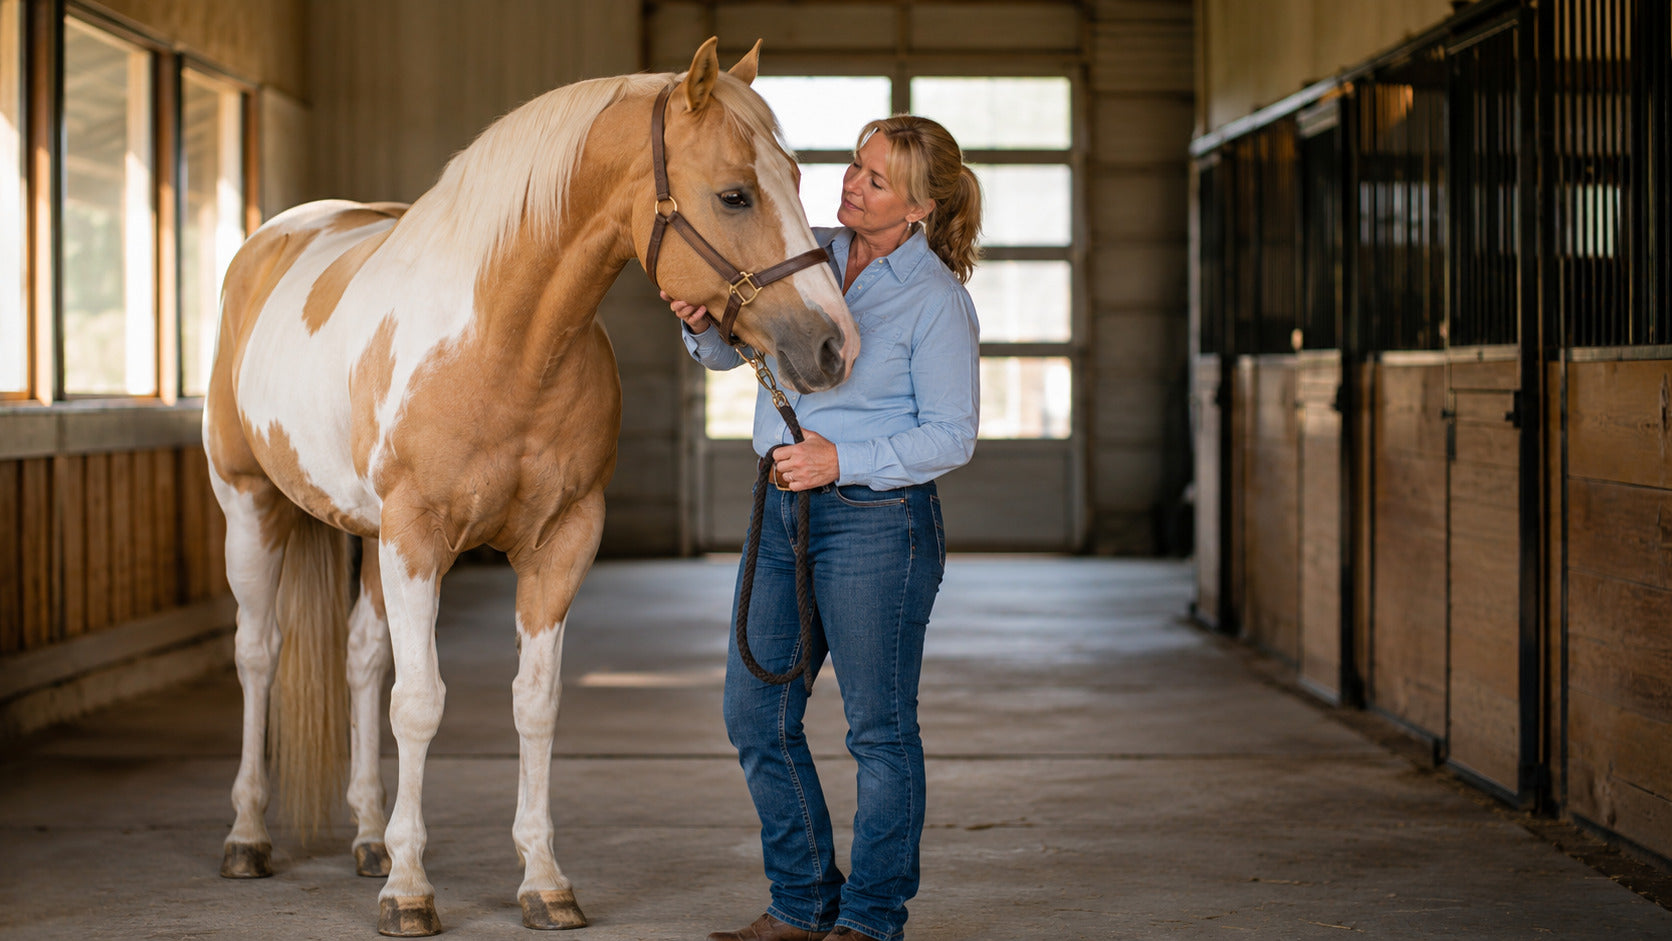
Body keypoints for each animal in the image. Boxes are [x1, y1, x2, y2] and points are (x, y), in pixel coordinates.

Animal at [202, 38, 858, 936]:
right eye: (735, 193)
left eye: (797, 177)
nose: (834, 345)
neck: (506, 341)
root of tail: (272, 239)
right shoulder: (416, 535)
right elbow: (422, 702)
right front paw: (410, 889)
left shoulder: (562, 539)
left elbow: (534, 703)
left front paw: (542, 879)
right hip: (251, 506)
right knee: (258, 654)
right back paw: (248, 835)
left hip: (367, 536)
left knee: (363, 658)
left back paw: (369, 834)